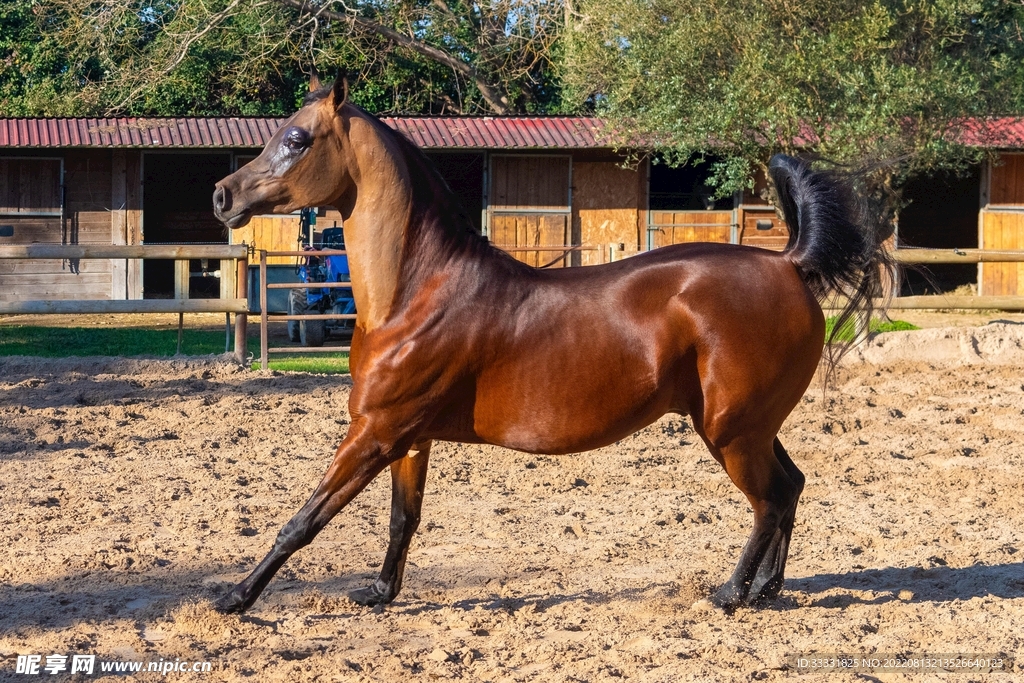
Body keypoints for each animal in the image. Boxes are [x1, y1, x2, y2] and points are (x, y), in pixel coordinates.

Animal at [211, 76, 892, 614]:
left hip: (732, 431)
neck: (415, 292)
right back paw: (767, 591)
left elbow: (302, 522)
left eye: (297, 139)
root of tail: (789, 263)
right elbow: (404, 518)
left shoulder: (375, 431)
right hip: (748, 424)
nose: (223, 196)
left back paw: (730, 595)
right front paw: (378, 593)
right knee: (792, 486)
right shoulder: (410, 436)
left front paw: (234, 599)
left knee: (769, 500)